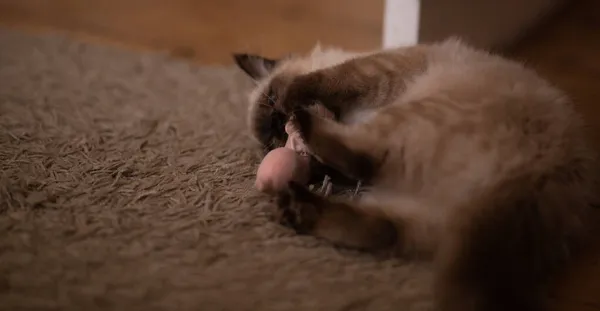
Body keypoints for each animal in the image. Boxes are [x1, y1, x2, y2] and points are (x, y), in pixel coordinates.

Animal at [232, 38, 596, 311]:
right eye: (270, 142)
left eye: (272, 101)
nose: (280, 128)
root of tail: (545, 170)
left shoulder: (379, 70)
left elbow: (328, 78)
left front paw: (296, 105)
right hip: (423, 206)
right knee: (384, 225)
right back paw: (298, 206)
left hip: (410, 118)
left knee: (365, 165)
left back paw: (305, 131)